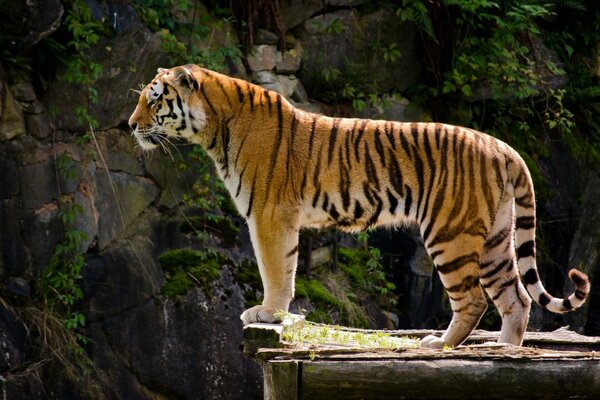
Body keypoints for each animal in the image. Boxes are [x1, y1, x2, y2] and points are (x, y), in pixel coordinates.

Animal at [127, 65, 592, 346]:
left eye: (154, 99)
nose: (131, 125)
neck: (215, 128)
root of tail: (503, 147)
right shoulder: (277, 216)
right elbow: (286, 266)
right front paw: (275, 311)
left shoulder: (269, 214)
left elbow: (275, 268)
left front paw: (268, 313)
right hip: (496, 236)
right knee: (517, 298)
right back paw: (504, 351)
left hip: (450, 233)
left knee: (476, 299)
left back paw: (441, 344)